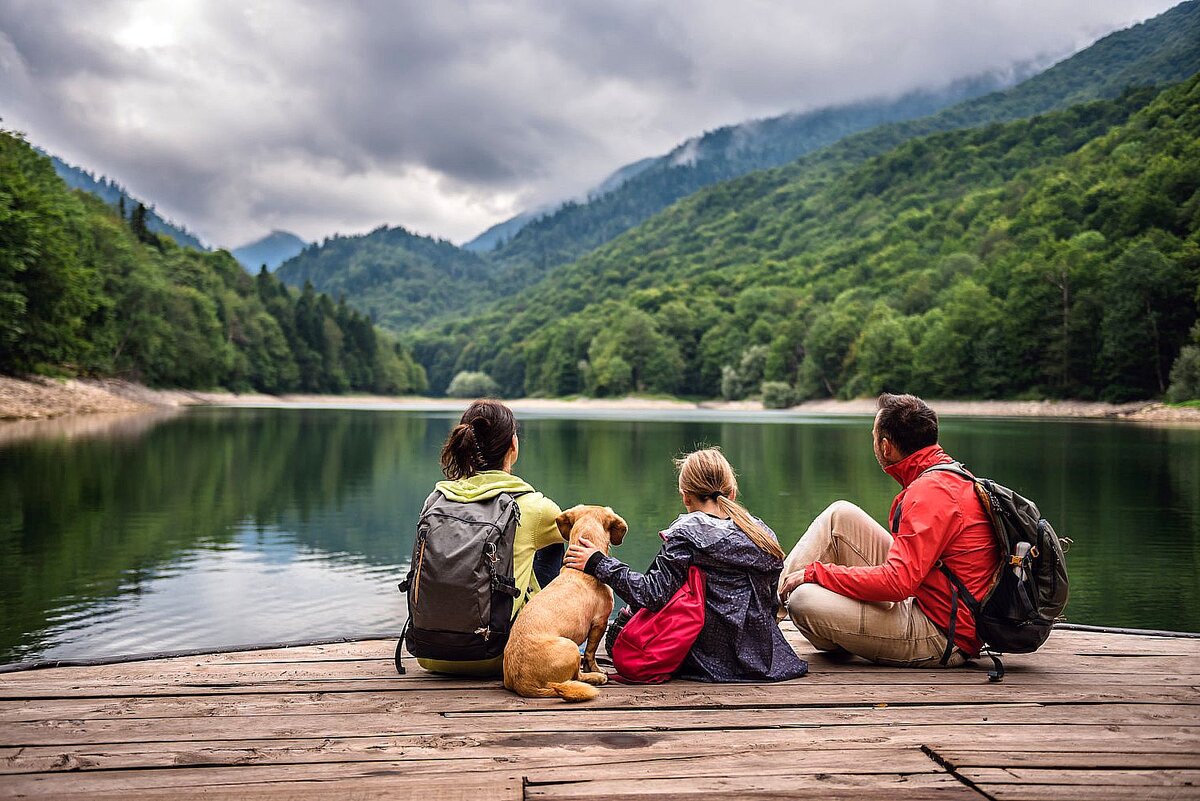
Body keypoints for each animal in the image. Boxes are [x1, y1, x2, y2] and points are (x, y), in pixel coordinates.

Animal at [501, 506, 628, 700]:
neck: (580, 570)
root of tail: (523, 683)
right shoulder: (600, 622)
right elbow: (590, 652)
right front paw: (597, 669)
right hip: (571, 647)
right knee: (577, 676)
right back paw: (597, 677)